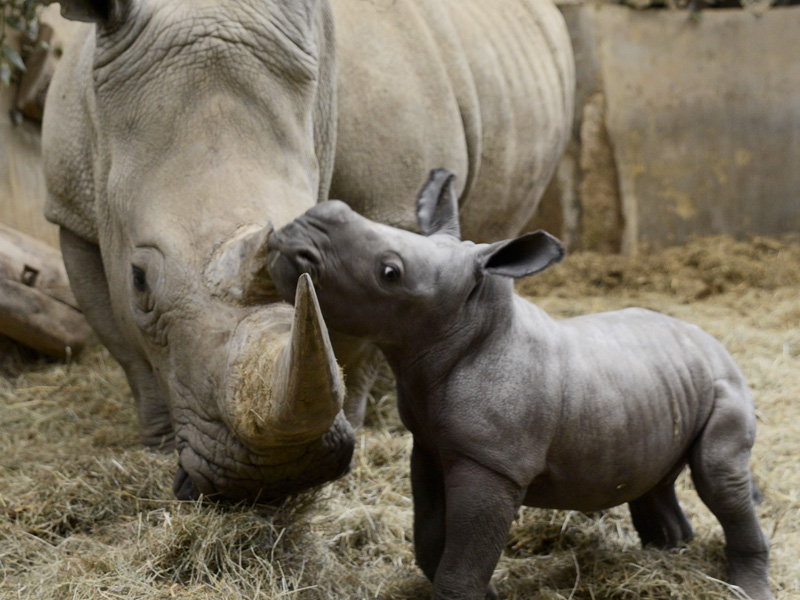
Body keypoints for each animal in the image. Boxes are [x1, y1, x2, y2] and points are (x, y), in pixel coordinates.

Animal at [42, 0, 576, 502]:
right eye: (138, 280)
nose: (273, 476)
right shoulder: (73, 212)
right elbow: (125, 346)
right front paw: (155, 444)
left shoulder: (393, 206)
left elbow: (362, 334)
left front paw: (354, 426)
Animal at [268, 168, 776, 600]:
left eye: (389, 273)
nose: (297, 231)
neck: (463, 323)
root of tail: (715, 343)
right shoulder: (430, 444)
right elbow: (429, 539)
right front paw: (490, 594)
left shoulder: (494, 463)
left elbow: (462, 563)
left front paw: (476, 592)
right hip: (663, 384)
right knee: (657, 470)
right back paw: (667, 551)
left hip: (725, 386)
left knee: (717, 474)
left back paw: (746, 588)